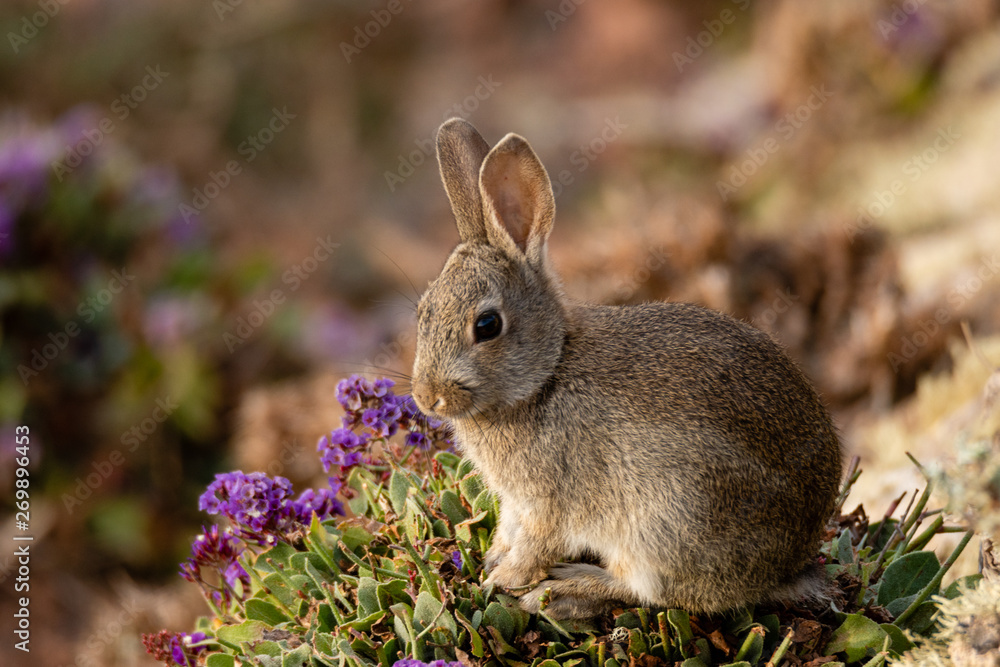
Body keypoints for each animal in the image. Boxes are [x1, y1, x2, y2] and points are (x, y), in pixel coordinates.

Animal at [410, 118, 843, 620]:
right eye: (422, 312)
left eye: (487, 325)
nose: (427, 398)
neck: (547, 375)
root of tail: (787, 568)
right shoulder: (517, 505)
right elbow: (510, 531)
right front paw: (494, 558)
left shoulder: (550, 504)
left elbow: (536, 547)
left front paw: (502, 580)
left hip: (666, 525)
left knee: (651, 592)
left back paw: (565, 590)